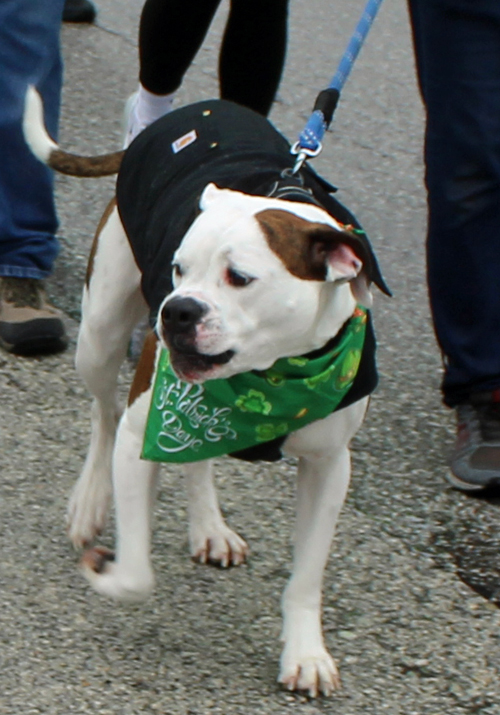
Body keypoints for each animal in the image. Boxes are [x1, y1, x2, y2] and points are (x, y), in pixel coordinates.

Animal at [23, 86, 388, 696]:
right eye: (177, 268)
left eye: (239, 277)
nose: (175, 310)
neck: (272, 378)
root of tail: (178, 116)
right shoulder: (142, 430)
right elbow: (136, 574)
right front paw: (107, 570)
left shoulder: (330, 465)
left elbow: (307, 576)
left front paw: (306, 653)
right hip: (99, 337)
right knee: (102, 416)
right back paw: (90, 501)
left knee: (197, 454)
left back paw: (209, 527)